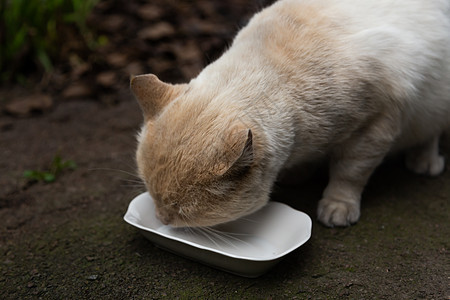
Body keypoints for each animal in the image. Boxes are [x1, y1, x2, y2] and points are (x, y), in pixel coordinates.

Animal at [133, 0, 450, 227]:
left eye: (180, 211)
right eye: (153, 196)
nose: (162, 218)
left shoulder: (375, 126)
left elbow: (349, 174)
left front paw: (337, 206)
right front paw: (297, 174)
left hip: (433, 107)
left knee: (430, 135)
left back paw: (425, 162)